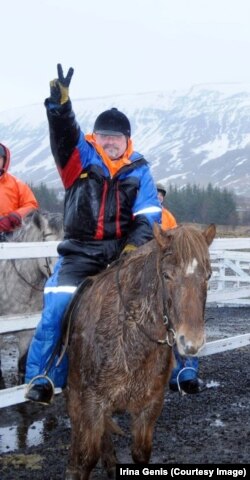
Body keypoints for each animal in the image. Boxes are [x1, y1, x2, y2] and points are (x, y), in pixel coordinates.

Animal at [65, 223, 216, 478]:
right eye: (166, 275)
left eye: (208, 276)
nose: (191, 342)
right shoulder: (91, 405)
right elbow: (83, 461)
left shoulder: (150, 406)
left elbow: (140, 453)